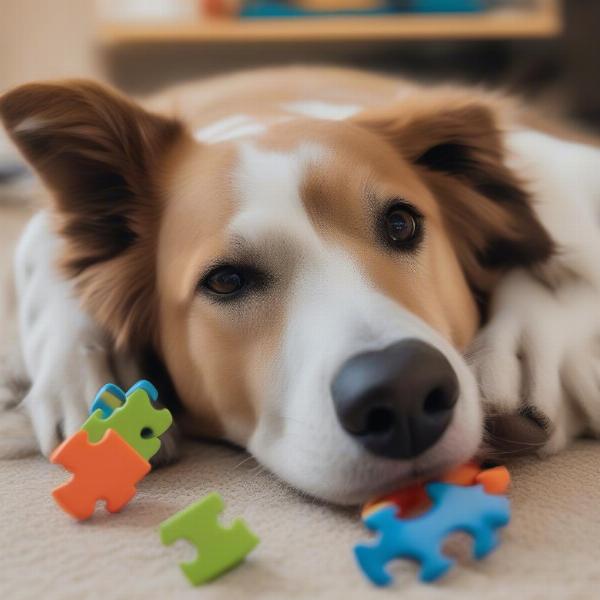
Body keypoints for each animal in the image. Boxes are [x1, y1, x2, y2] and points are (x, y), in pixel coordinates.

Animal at [1, 68, 600, 504]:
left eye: (401, 224)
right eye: (226, 280)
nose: (403, 391)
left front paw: (529, 346)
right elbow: (43, 253)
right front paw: (86, 376)